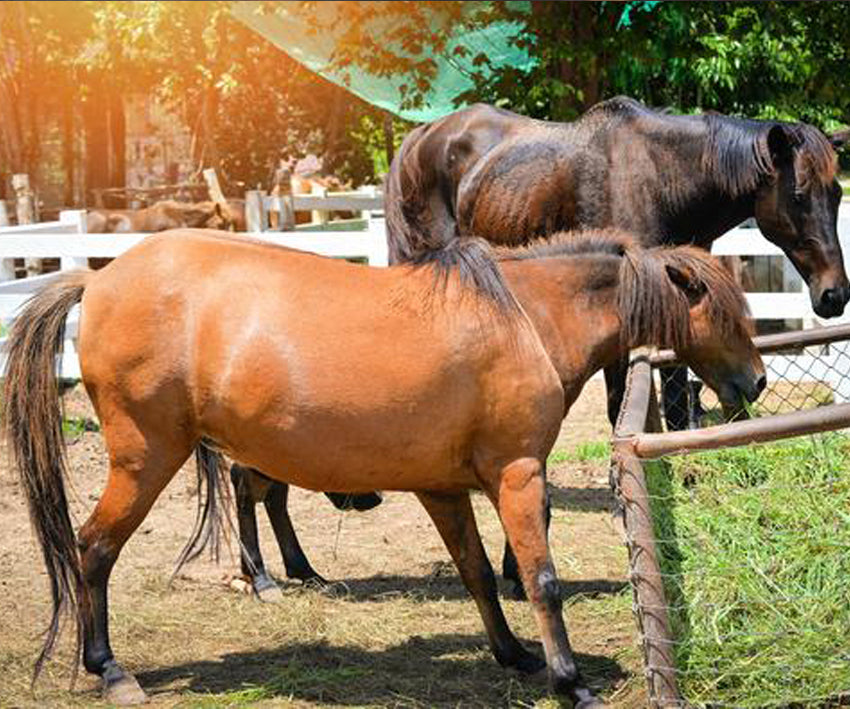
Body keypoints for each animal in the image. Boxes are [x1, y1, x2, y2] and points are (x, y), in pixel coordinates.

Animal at [0, 230, 760, 704]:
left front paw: (513, 654)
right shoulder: (518, 474)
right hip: (145, 458)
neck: (522, 317)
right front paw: (569, 681)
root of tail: (98, 277)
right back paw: (110, 669)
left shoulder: (442, 489)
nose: (754, 382)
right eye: (726, 313)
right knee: (93, 549)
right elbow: (542, 582)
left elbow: (478, 573)